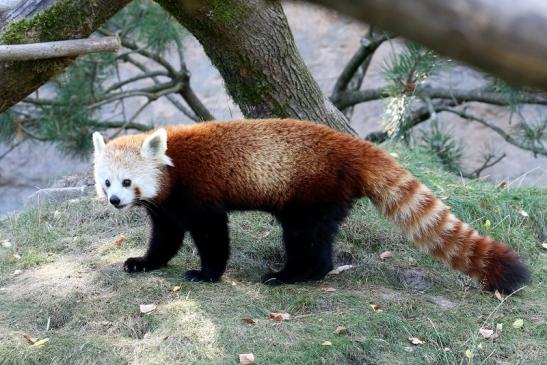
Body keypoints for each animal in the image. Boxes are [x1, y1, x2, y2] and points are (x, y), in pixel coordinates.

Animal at [93, 119, 532, 292]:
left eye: (127, 181)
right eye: (107, 182)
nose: (115, 201)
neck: (171, 166)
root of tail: (353, 146)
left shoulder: (199, 194)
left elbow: (213, 234)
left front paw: (206, 273)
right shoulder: (165, 207)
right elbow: (165, 237)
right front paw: (144, 262)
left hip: (311, 192)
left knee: (304, 237)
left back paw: (289, 275)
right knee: (319, 239)